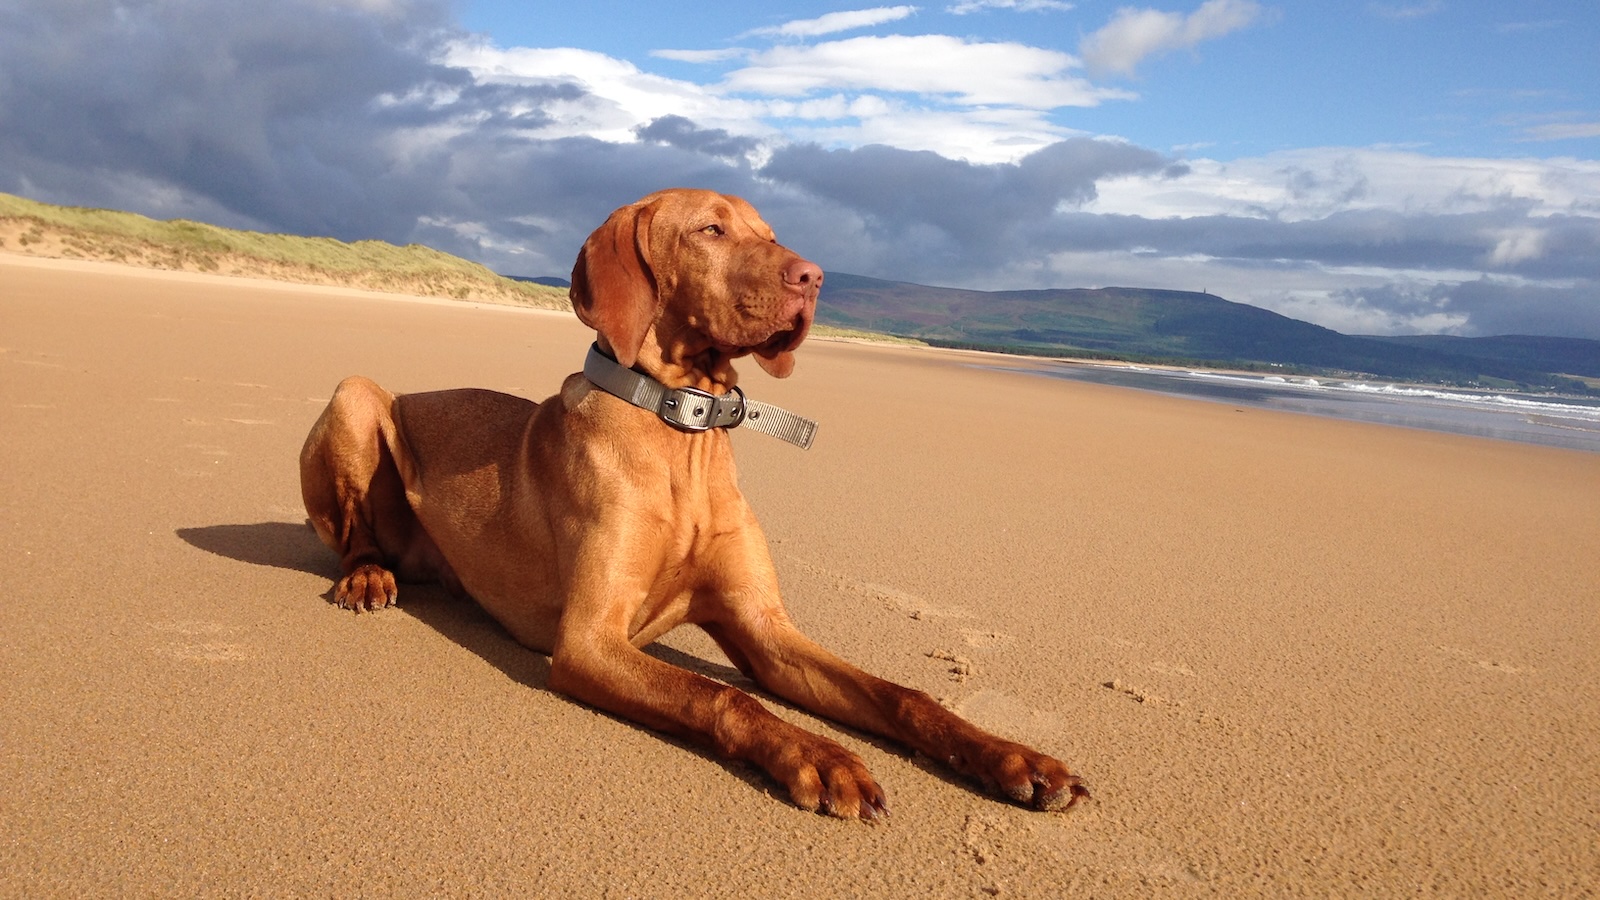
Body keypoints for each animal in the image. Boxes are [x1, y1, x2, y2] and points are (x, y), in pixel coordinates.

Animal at [300, 185, 1088, 816]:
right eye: (711, 230)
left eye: (769, 232)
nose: (814, 276)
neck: (684, 431)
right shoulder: (588, 641)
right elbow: (721, 694)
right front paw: (822, 756)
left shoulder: (764, 632)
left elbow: (903, 694)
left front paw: (1014, 757)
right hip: (356, 394)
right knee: (356, 529)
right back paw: (367, 576)